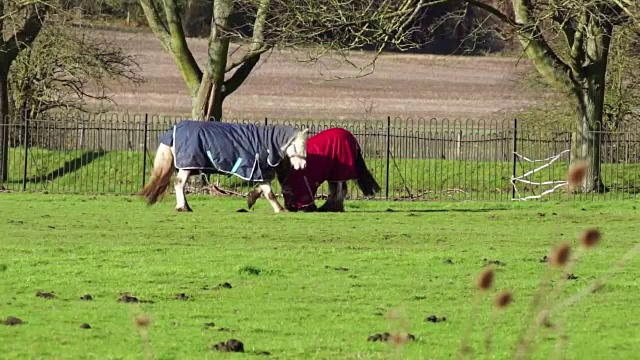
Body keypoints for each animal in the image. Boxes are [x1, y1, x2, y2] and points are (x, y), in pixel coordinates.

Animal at [141, 119, 310, 212]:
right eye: (296, 146)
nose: (302, 165)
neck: (265, 143)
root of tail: (173, 130)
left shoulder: (257, 172)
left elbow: (261, 189)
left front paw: (251, 199)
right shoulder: (257, 170)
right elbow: (269, 192)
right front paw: (279, 209)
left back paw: (186, 206)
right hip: (186, 166)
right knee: (179, 184)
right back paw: (182, 207)